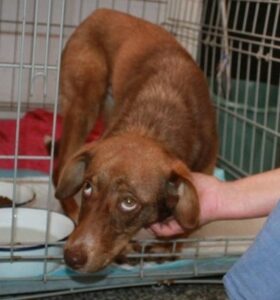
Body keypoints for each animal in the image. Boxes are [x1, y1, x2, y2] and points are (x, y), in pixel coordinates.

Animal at [54, 8, 217, 272]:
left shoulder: (206, 167)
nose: (71, 258)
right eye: (88, 187)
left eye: (128, 202)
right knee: (57, 171)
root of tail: (100, 11)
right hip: (83, 103)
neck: (153, 126)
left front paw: (167, 246)